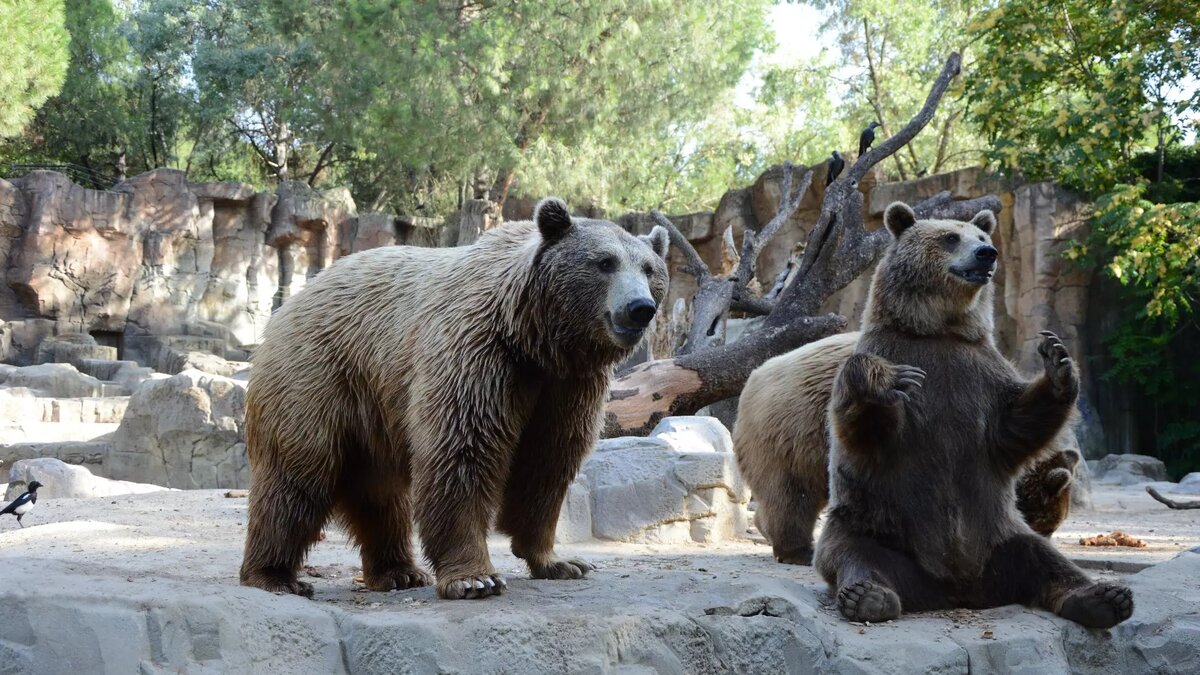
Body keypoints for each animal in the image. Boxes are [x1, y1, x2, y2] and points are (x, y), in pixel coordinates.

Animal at [238, 196, 672, 595]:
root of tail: (293, 301)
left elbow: (548, 462)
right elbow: (463, 449)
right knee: (297, 476)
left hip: (372, 408)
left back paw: (399, 571)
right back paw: (274, 575)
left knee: (380, 493)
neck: (534, 336)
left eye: (649, 268)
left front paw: (560, 562)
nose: (640, 307)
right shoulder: (478, 354)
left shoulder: (568, 385)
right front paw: (475, 577)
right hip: (318, 376)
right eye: (605, 262)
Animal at [811, 199, 1128, 624]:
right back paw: (868, 596)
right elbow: (867, 431)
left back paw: (1103, 598)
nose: (987, 254)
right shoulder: (900, 354)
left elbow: (1013, 424)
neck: (940, 330)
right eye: (950, 237)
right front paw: (886, 381)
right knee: (853, 553)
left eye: (980, 235)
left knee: (1045, 559)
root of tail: (958, 589)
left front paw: (1059, 361)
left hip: (1001, 535)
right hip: (875, 524)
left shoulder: (978, 372)